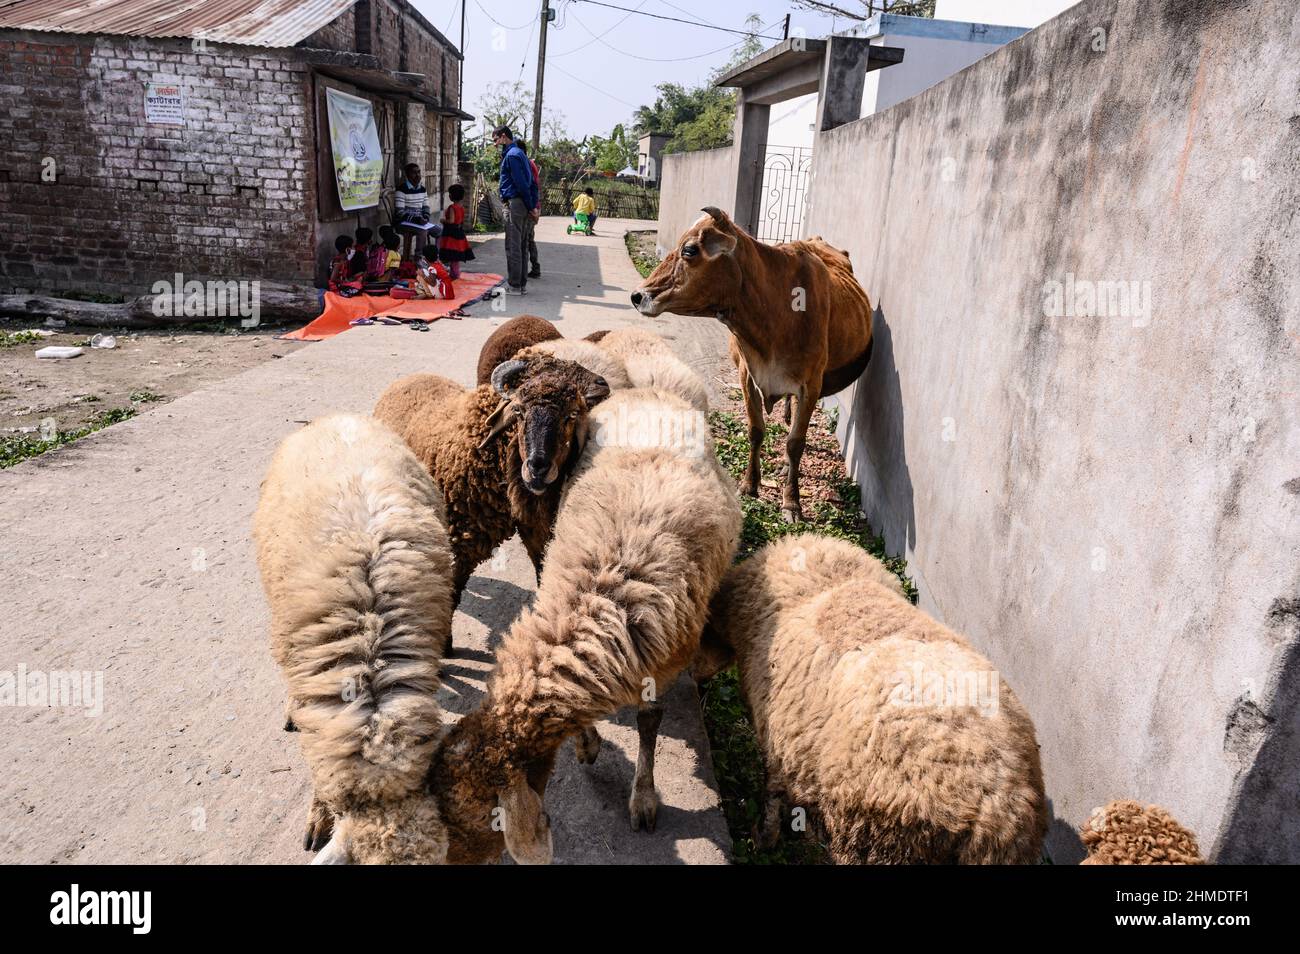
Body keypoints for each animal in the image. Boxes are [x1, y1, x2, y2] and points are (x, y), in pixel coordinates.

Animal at [631, 207, 873, 522]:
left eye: (690, 250)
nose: (637, 296)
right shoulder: (746, 374)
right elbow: (756, 430)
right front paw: (750, 485)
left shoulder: (811, 384)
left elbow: (796, 442)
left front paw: (791, 502)